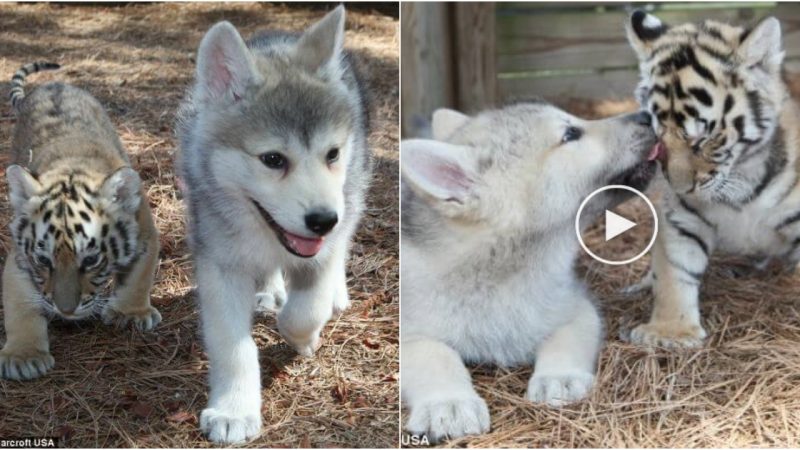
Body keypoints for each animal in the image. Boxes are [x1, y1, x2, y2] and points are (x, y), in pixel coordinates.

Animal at [177, 6, 370, 442]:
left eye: (332, 153)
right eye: (272, 159)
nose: (323, 221)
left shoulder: (324, 245)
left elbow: (305, 310)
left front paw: (305, 336)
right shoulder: (220, 264)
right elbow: (233, 345)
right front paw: (233, 411)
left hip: (353, 193)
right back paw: (268, 290)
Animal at [404, 101, 660, 440]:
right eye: (570, 133)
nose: (647, 114)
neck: (498, 277)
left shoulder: (576, 306)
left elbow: (566, 338)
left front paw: (559, 378)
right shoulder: (411, 330)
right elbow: (434, 355)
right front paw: (448, 404)